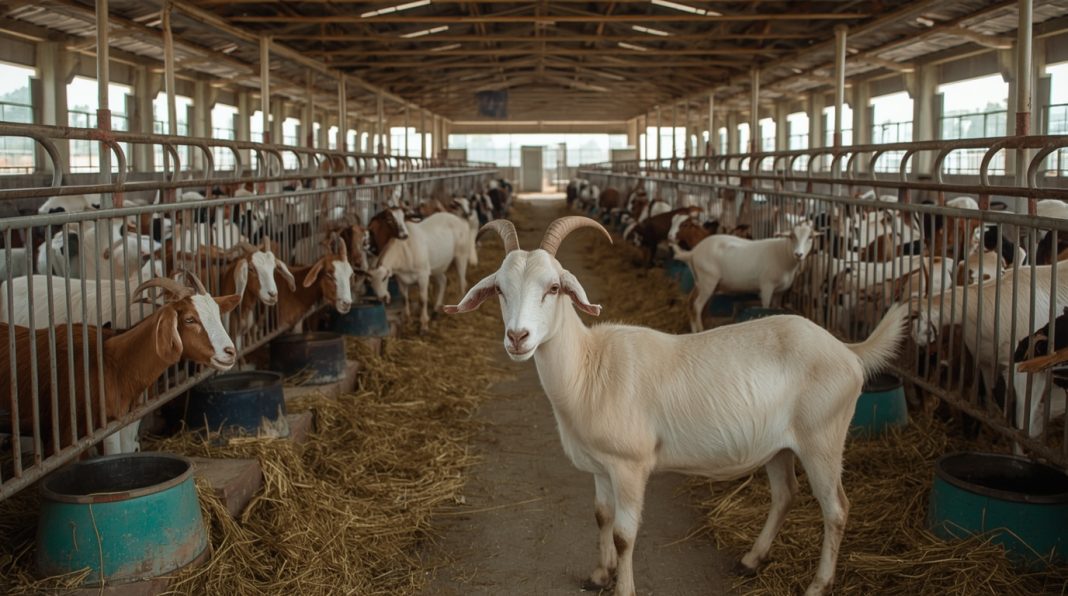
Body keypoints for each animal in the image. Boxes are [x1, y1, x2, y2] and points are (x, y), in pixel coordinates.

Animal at [673, 221, 816, 333]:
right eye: (792, 236)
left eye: (810, 237)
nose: (799, 254)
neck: (783, 254)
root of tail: (693, 253)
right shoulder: (767, 286)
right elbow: (766, 306)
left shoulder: (780, 292)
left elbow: (775, 308)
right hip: (708, 279)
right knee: (697, 306)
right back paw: (701, 329)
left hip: (701, 281)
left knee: (691, 302)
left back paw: (694, 329)